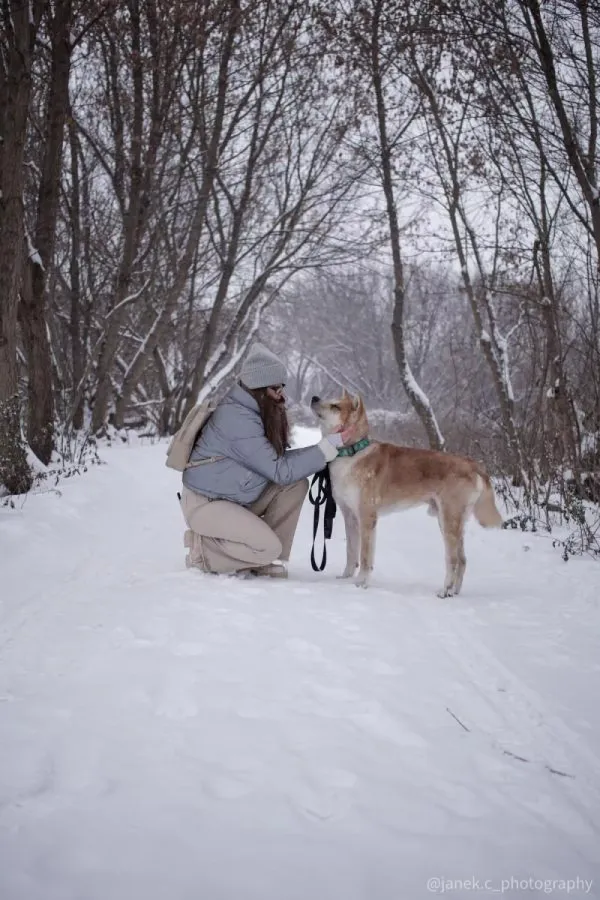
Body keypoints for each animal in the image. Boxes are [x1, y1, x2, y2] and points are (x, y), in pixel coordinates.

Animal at [312, 388, 504, 596]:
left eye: (335, 406)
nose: (314, 398)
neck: (353, 452)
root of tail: (473, 464)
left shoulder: (367, 517)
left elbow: (365, 556)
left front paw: (361, 583)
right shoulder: (350, 516)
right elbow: (351, 551)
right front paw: (346, 578)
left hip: (449, 521)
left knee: (452, 560)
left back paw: (444, 590)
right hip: (450, 522)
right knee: (462, 560)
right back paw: (454, 592)